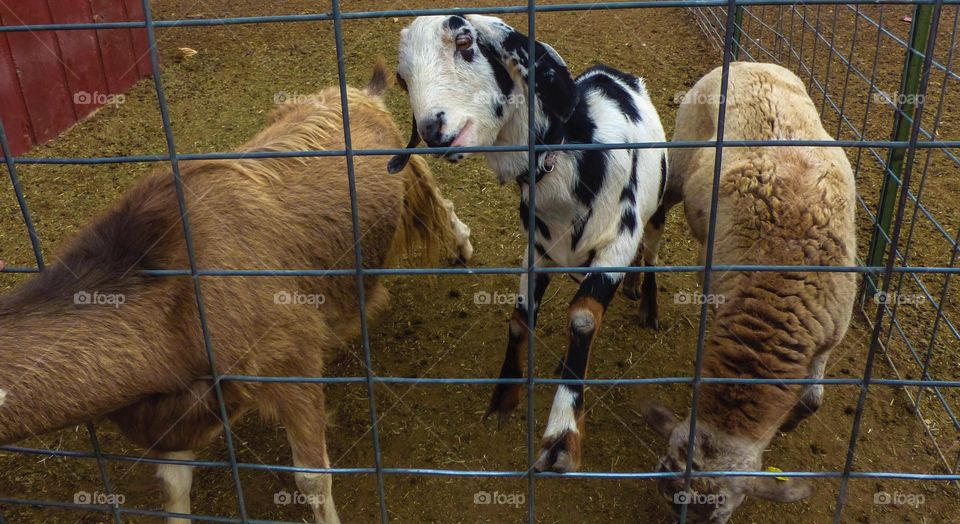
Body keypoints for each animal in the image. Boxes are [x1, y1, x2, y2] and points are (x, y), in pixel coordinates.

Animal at [0, 63, 468, 524]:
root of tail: (361, 93)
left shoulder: (293, 359)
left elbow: (312, 480)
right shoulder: (178, 403)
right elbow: (173, 485)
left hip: (408, 171)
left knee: (439, 202)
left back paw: (462, 245)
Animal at [390, 14, 668, 472]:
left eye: (465, 41)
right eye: (400, 76)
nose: (432, 129)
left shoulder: (617, 244)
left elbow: (583, 319)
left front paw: (562, 437)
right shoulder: (537, 250)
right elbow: (520, 320)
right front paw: (504, 399)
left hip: (657, 206)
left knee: (650, 248)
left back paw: (646, 304)